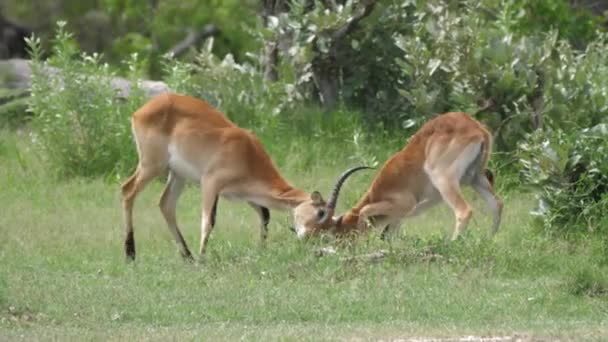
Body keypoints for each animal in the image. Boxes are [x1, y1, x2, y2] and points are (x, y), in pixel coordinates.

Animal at [120, 92, 338, 260]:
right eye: (320, 213)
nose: (310, 238)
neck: (248, 154)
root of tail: (141, 110)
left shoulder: (246, 194)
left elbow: (265, 215)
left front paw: (261, 250)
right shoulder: (210, 183)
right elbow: (208, 221)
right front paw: (203, 259)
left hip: (177, 175)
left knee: (166, 204)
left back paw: (187, 257)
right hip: (152, 165)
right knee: (127, 190)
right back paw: (131, 254)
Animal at [294, 112, 504, 240]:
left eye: (334, 232)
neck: (381, 190)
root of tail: (477, 128)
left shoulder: (405, 204)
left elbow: (365, 211)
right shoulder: (421, 204)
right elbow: (392, 228)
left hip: (444, 180)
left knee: (464, 210)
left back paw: (452, 243)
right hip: (475, 178)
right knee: (497, 204)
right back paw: (488, 240)